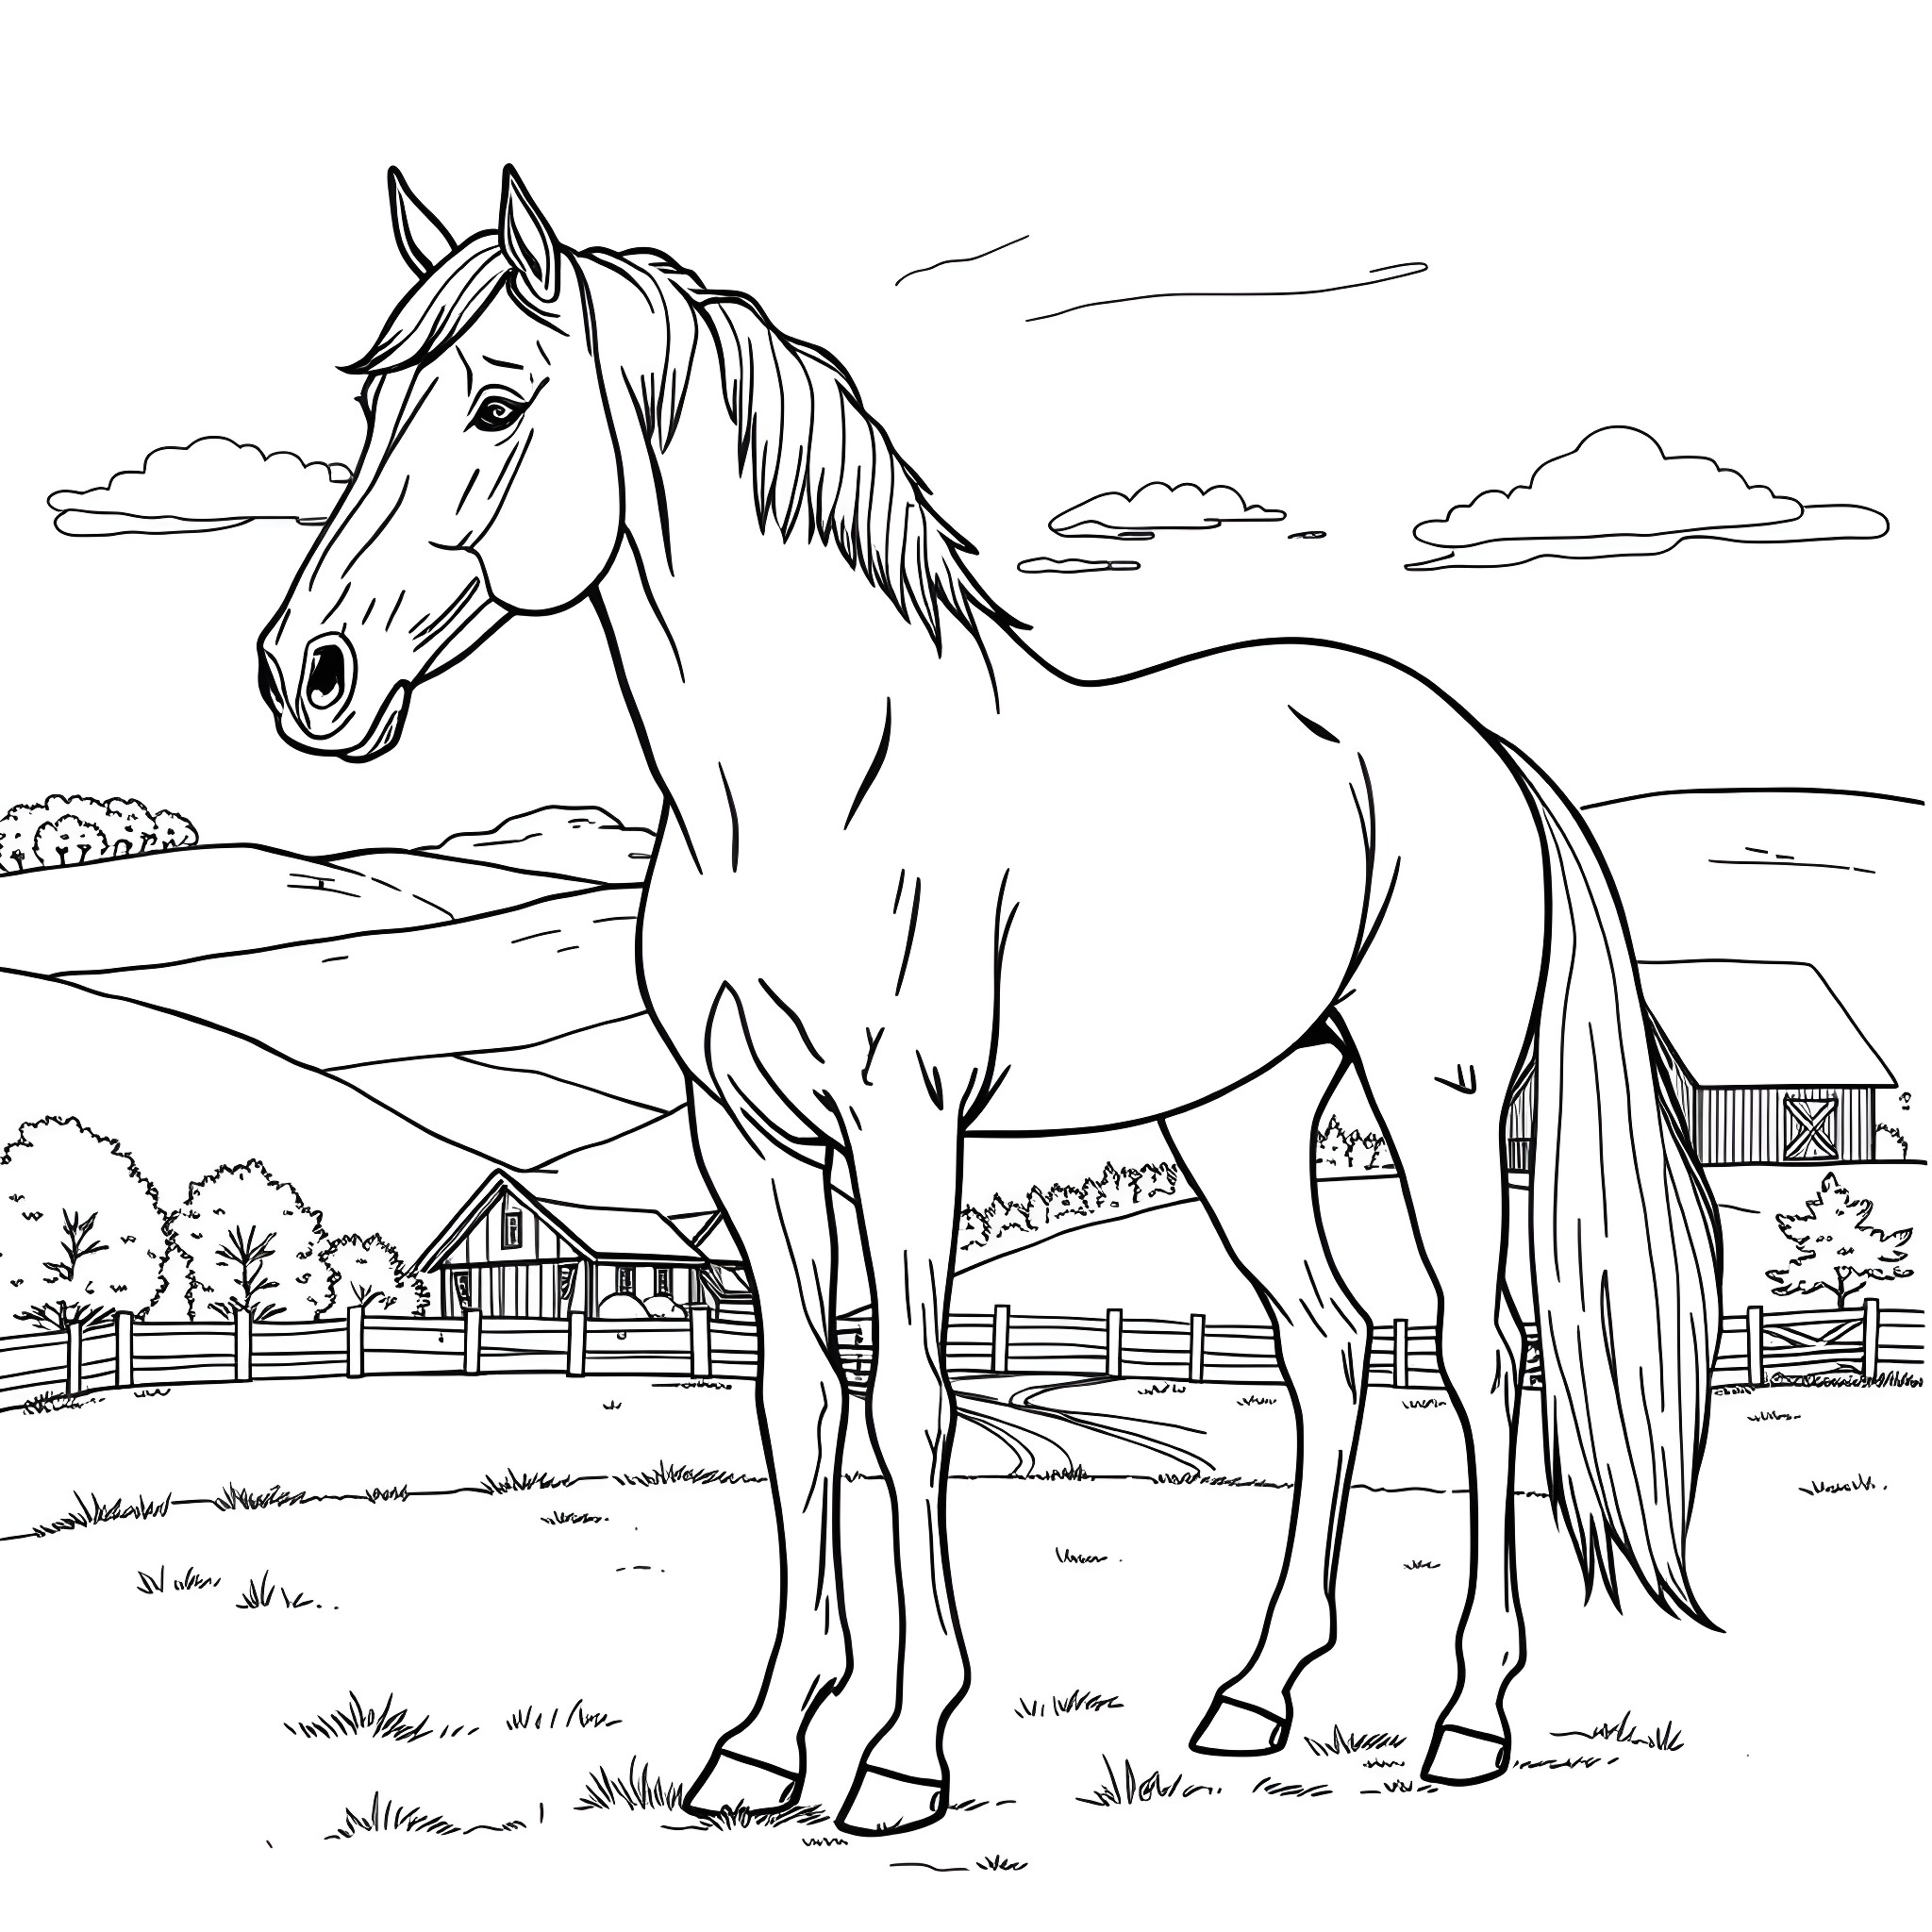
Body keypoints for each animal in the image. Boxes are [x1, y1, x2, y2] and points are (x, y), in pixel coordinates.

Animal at [258, 166, 1721, 1837]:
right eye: (373, 404)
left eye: (497, 404)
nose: (306, 673)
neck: (798, 790)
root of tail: (1477, 745)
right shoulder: (745, 1143)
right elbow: (798, 1407)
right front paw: (762, 1745)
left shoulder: (906, 1130)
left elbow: (912, 1407)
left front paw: (903, 1754)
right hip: (1241, 1117)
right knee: (1328, 1347)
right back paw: (1252, 1699)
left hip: (1440, 1098)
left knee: (1480, 1355)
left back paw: (1468, 1718)